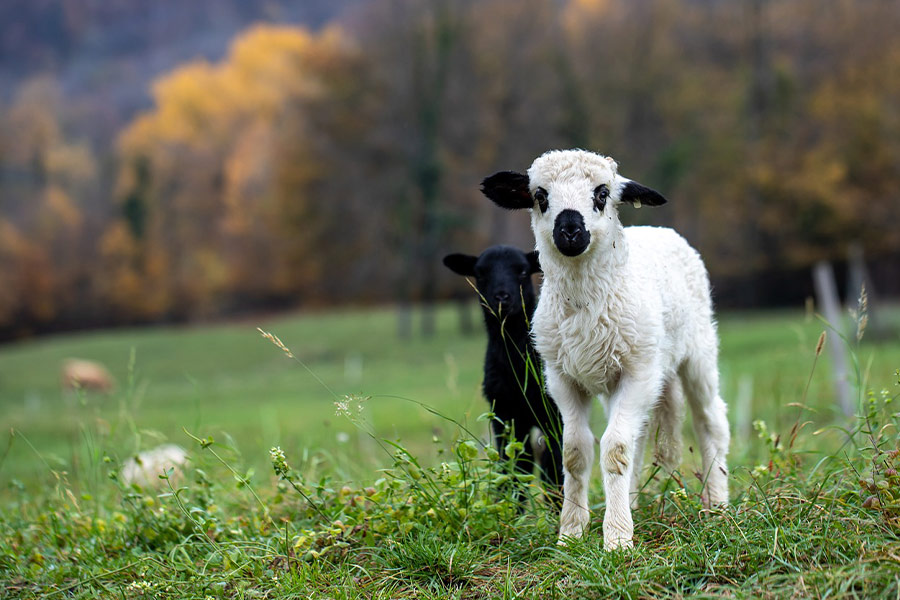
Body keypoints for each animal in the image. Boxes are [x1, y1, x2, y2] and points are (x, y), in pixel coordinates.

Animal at [443, 245, 563, 506]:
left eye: (523, 271)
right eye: (480, 273)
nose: (501, 298)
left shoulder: (553, 414)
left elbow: (554, 465)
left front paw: (558, 507)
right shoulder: (504, 413)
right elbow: (513, 467)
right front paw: (510, 506)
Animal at [481, 149, 729, 549]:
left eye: (602, 193)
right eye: (540, 196)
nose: (569, 230)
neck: (585, 304)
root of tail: (659, 230)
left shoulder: (637, 372)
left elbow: (614, 449)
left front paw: (616, 539)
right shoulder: (562, 379)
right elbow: (575, 451)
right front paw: (571, 533)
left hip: (698, 352)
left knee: (710, 421)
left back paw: (718, 504)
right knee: (639, 438)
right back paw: (633, 502)